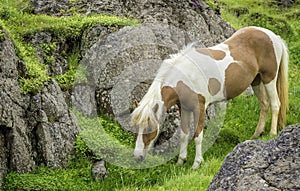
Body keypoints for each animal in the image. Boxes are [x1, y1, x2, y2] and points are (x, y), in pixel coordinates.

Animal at [129, 26, 288, 169]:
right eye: (135, 126)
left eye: (149, 127)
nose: (137, 157)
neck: (186, 76)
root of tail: (273, 36)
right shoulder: (184, 109)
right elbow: (184, 135)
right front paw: (181, 161)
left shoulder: (199, 108)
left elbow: (198, 136)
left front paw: (196, 163)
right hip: (256, 81)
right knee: (264, 104)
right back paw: (256, 134)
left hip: (269, 78)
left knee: (275, 104)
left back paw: (272, 133)